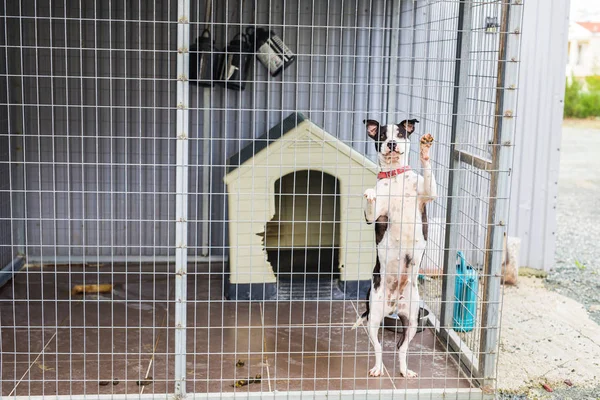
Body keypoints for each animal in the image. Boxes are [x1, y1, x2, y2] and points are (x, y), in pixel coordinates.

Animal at [354, 118, 438, 378]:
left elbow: (428, 173)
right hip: (374, 319)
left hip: (412, 320)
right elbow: (372, 204)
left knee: (402, 348)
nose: (391, 143)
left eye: (400, 134)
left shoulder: (428, 193)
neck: (395, 176)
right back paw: (378, 368)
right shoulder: (374, 216)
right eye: (382, 135)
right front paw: (370, 193)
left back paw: (404, 370)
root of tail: (393, 304)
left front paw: (425, 150)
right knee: (379, 348)